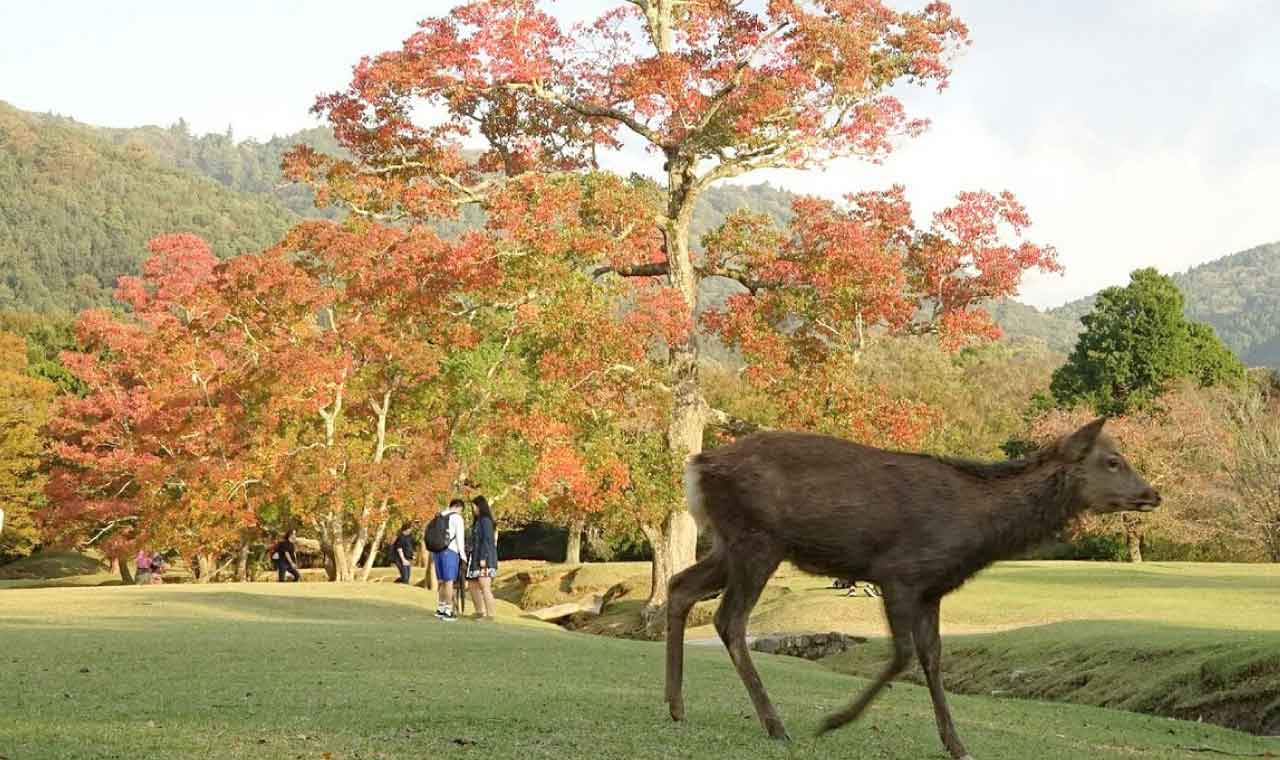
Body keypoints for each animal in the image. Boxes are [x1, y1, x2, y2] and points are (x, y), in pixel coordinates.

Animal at [670, 417, 1162, 752]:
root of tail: (697, 465)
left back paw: (676, 706)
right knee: (729, 618)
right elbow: (903, 654)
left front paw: (956, 744)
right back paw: (775, 724)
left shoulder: (932, 589)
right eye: (1113, 461)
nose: (1153, 494)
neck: (974, 536)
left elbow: (933, 657)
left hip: (729, 545)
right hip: (757, 540)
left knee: (678, 585)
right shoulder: (899, 574)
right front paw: (834, 721)